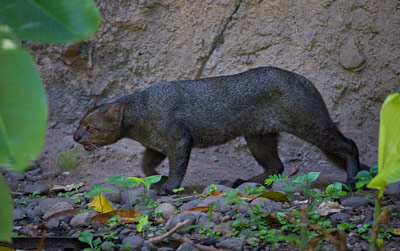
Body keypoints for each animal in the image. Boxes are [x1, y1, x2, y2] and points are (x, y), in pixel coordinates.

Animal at [73, 66, 368, 194]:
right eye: (78, 124)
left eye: (90, 128)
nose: (75, 137)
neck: (141, 111)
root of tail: (305, 80)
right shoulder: (157, 144)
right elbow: (146, 164)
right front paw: (157, 180)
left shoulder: (179, 140)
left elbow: (177, 168)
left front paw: (168, 187)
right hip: (258, 136)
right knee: (276, 166)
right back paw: (241, 182)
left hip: (309, 124)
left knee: (350, 144)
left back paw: (352, 179)